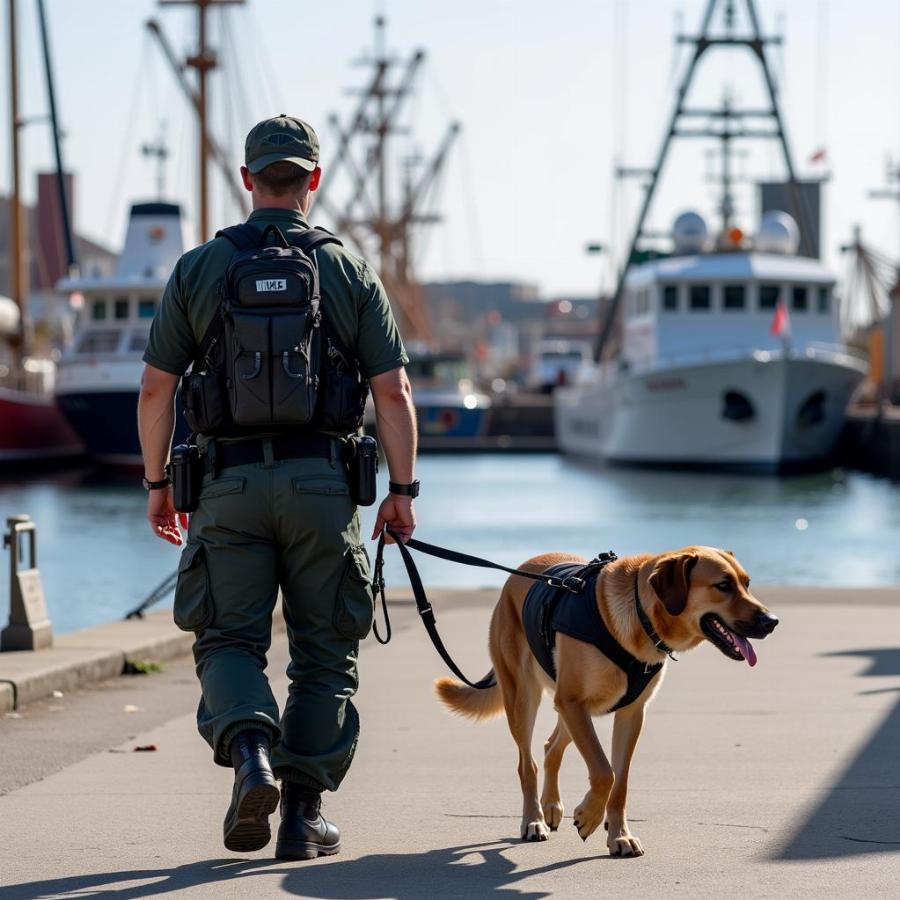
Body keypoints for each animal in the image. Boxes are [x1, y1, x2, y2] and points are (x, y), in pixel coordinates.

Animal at [432, 548, 776, 856]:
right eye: (723, 585)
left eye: (747, 583)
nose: (772, 621)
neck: (641, 618)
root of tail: (517, 574)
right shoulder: (574, 703)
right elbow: (603, 771)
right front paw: (588, 817)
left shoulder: (629, 714)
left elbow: (619, 782)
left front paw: (619, 835)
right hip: (524, 698)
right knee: (527, 764)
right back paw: (534, 820)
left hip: (567, 709)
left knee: (551, 747)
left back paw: (551, 806)